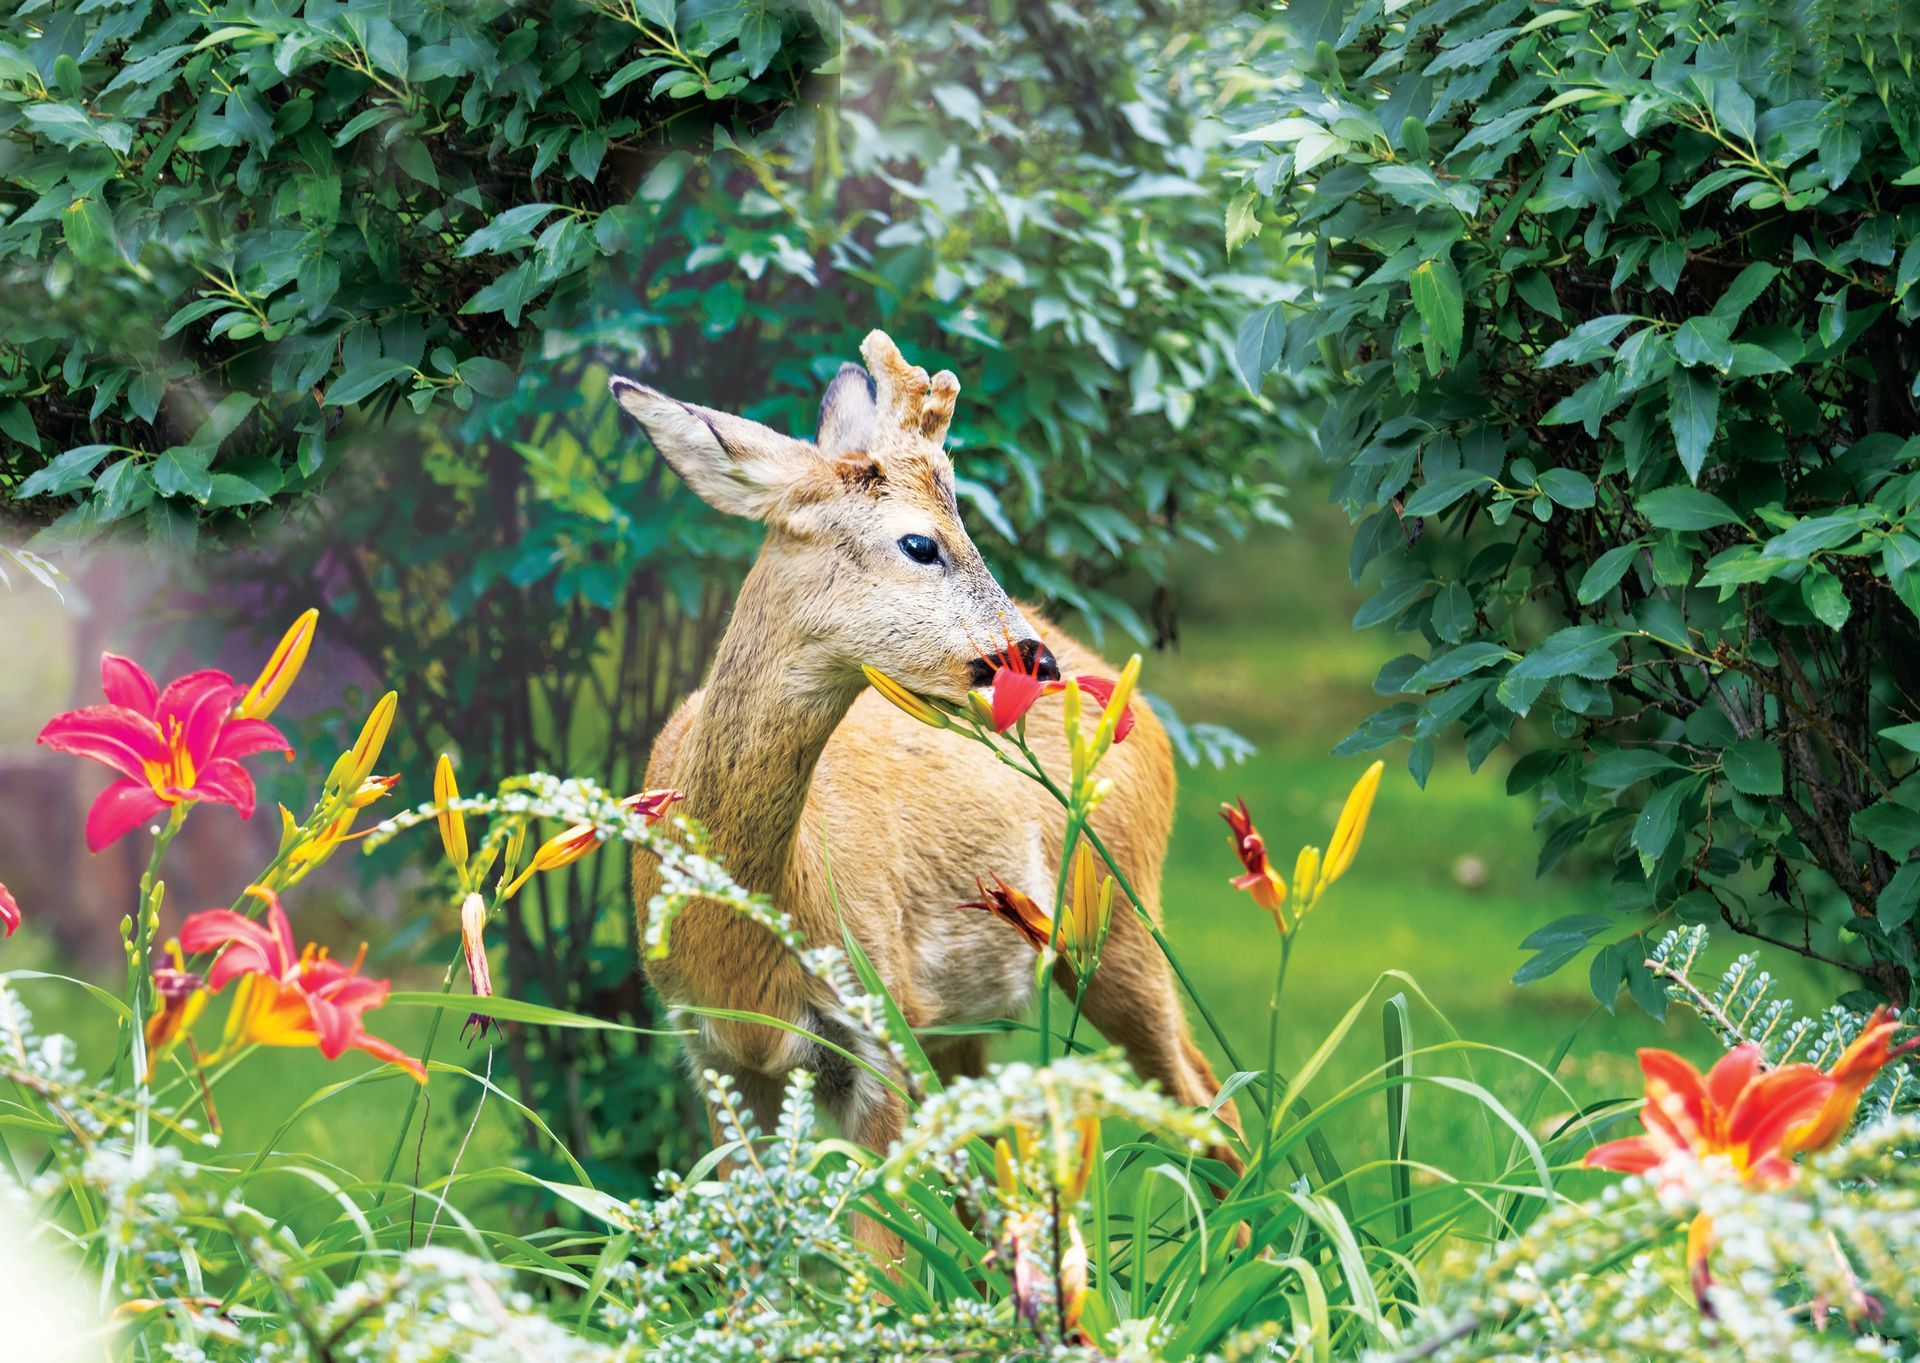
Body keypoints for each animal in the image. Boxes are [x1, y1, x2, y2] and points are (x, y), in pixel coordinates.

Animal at [614, 331, 1242, 1251]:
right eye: (921, 544)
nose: (1030, 659)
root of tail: (1139, 706)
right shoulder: (714, 1053)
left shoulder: (878, 1023)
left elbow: (885, 1260)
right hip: (968, 1024)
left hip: (1120, 915)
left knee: (1209, 1104)